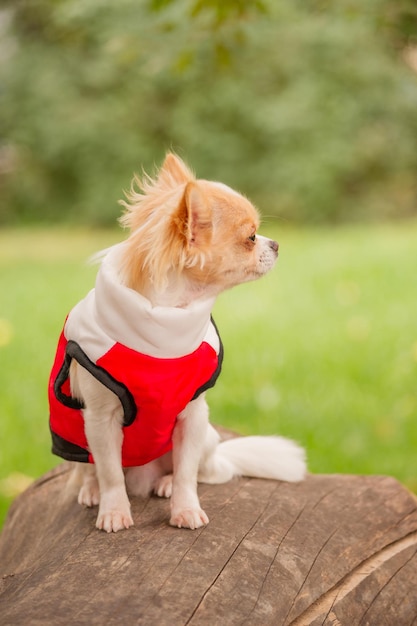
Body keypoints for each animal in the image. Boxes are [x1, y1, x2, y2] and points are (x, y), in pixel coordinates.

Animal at [48, 155, 306, 532]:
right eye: (251, 237)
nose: (275, 244)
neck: (163, 320)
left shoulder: (192, 415)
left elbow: (186, 473)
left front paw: (185, 509)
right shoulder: (98, 420)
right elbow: (110, 472)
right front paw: (114, 510)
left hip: (208, 438)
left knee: (205, 473)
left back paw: (166, 483)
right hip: (75, 440)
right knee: (91, 470)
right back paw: (92, 490)